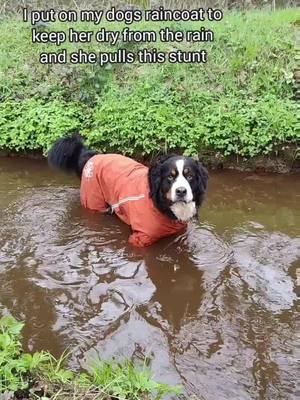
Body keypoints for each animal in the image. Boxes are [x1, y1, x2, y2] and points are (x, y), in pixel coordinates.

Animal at [48, 134, 209, 247]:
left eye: (190, 176)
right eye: (170, 176)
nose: (181, 191)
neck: (160, 204)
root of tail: (93, 156)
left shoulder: (178, 232)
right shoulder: (140, 239)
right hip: (94, 203)